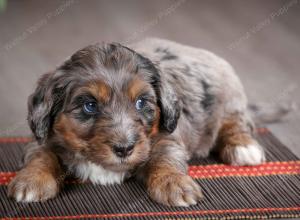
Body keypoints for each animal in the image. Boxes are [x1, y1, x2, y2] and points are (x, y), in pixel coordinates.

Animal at [7, 38, 264, 206]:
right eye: (89, 105)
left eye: (141, 102)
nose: (124, 149)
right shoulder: (42, 137)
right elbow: (41, 155)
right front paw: (31, 180)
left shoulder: (166, 138)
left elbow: (165, 158)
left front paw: (174, 183)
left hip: (231, 101)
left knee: (235, 124)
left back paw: (244, 148)